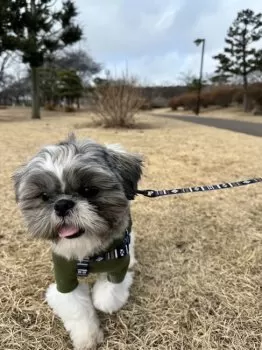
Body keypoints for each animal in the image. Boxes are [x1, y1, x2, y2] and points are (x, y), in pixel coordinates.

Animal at [13, 134, 142, 350]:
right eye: (45, 196)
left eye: (89, 190)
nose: (62, 204)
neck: (88, 255)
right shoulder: (63, 278)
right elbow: (76, 307)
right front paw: (87, 336)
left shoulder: (118, 266)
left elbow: (107, 297)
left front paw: (100, 299)